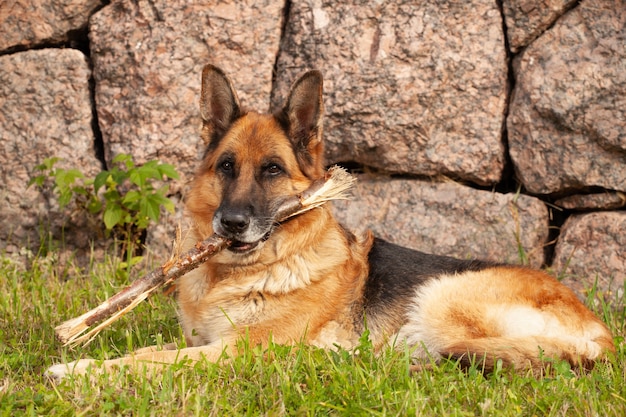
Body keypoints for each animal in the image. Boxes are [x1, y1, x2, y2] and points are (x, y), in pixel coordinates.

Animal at [46, 64, 612, 376]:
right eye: (226, 167)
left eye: (273, 170)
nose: (230, 224)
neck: (247, 272)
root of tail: (601, 334)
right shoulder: (204, 343)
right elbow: (153, 349)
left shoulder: (240, 349)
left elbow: (150, 361)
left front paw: (76, 370)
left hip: (443, 293)